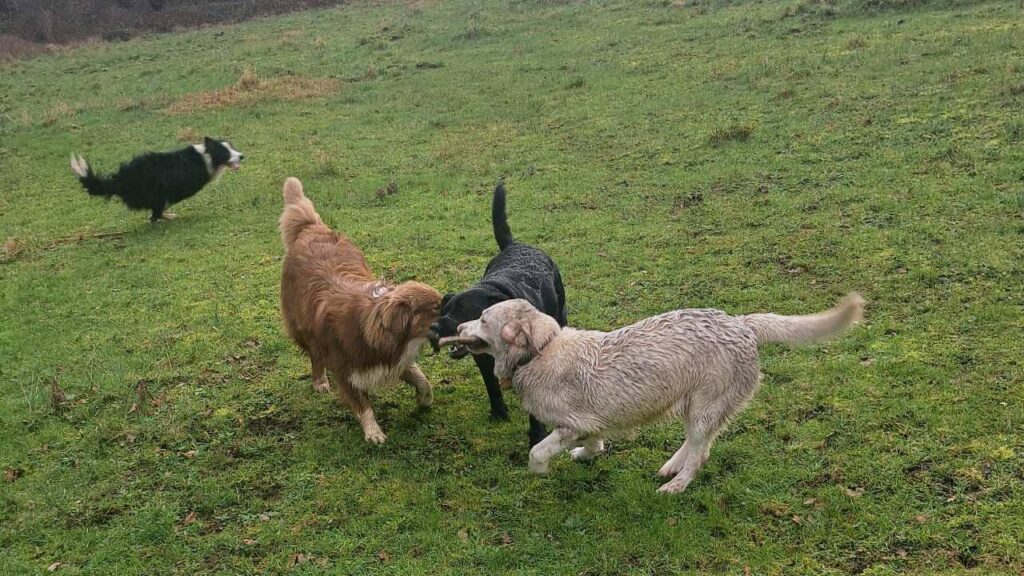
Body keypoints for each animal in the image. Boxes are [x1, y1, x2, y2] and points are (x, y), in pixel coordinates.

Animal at [70, 136, 243, 222]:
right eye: (226, 152)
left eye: (232, 147)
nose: (242, 156)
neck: (207, 155)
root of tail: (120, 178)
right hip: (156, 194)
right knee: (156, 214)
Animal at [278, 177, 442, 440]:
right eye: (437, 307)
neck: (370, 326)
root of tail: (310, 228)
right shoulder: (346, 372)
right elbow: (362, 404)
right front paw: (373, 432)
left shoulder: (391, 357)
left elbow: (421, 378)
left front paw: (424, 400)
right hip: (302, 328)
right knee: (315, 355)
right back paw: (319, 380)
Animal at [425, 182, 569, 444]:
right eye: (444, 309)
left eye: (465, 312)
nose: (434, 329)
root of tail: (516, 245)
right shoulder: (482, 359)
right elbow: (491, 386)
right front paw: (499, 412)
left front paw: (537, 435)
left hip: (560, 314)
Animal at [442, 293, 864, 491]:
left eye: (482, 318)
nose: (457, 328)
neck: (540, 352)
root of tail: (742, 324)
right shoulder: (587, 423)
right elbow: (595, 442)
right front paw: (587, 455)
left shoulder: (567, 425)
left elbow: (536, 451)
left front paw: (541, 471)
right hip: (694, 407)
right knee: (698, 444)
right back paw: (671, 466)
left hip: (705, 408)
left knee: (701, 453)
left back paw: (677, 484)